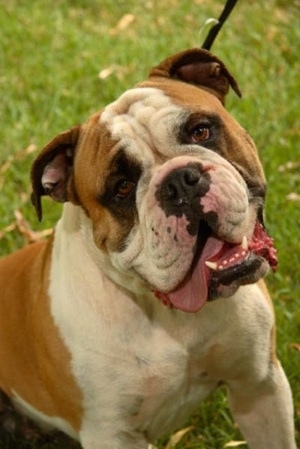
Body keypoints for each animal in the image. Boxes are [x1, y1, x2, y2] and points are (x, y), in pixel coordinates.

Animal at [0, 49, 296, 448]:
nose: (180, 182)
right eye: (122, 187)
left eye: (201, 131)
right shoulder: (112, 434)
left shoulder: (260, 387)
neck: (171, 317)